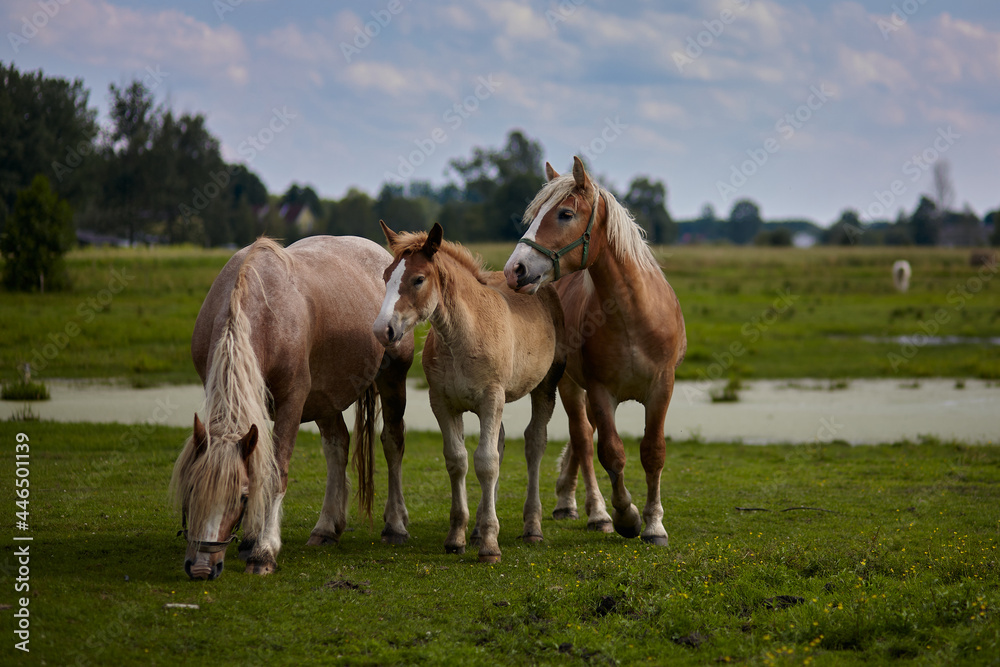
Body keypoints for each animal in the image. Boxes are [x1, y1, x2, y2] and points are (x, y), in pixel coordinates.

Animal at [170, 236, 412, 580]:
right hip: (326, 399)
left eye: (241, 496)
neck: (264, 311)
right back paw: (326, 528)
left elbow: (275, 472)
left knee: (392, 443)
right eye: (190, 490)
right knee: (337, 446)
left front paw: (263, 551)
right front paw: (250, 540)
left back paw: (395, 525)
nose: (202, 567)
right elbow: (259, 463)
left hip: (393, 378)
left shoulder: (292, 402)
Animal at [374, 222, 568, 560]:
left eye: (418, 279)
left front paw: (490, 544)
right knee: (500, 441)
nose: (383, 330)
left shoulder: (492, 398)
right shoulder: (443, 403)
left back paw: (532, 528)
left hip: (544, 387)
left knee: (534, 443)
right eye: (386, 276)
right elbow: (458, 460)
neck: (462, 336)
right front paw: (458, 536)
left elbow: (486, 462)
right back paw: (477, 529)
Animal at [500, 158, 688, 548]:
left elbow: (653, 452)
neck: (634, 314)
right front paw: (626, 517)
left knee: (582, 436)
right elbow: (610, 453)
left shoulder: (661, 389)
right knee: (583, 438)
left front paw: (654, 525)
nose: (515, 270)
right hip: (571, 386)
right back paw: (592, 511)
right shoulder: (602, 392)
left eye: (565, 214)